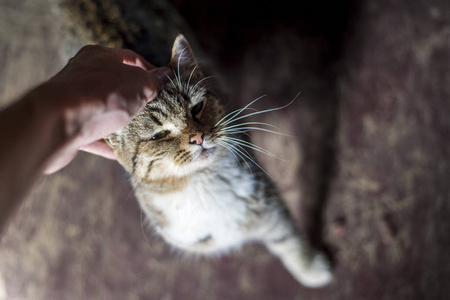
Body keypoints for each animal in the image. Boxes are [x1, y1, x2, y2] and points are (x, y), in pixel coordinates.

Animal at [104, 34, 330, 288]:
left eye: (197, 107)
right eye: (159, 135)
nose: (198, 138)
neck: (203, 183)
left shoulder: (268, 205)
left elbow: (287, 241)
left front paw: (310, 270)